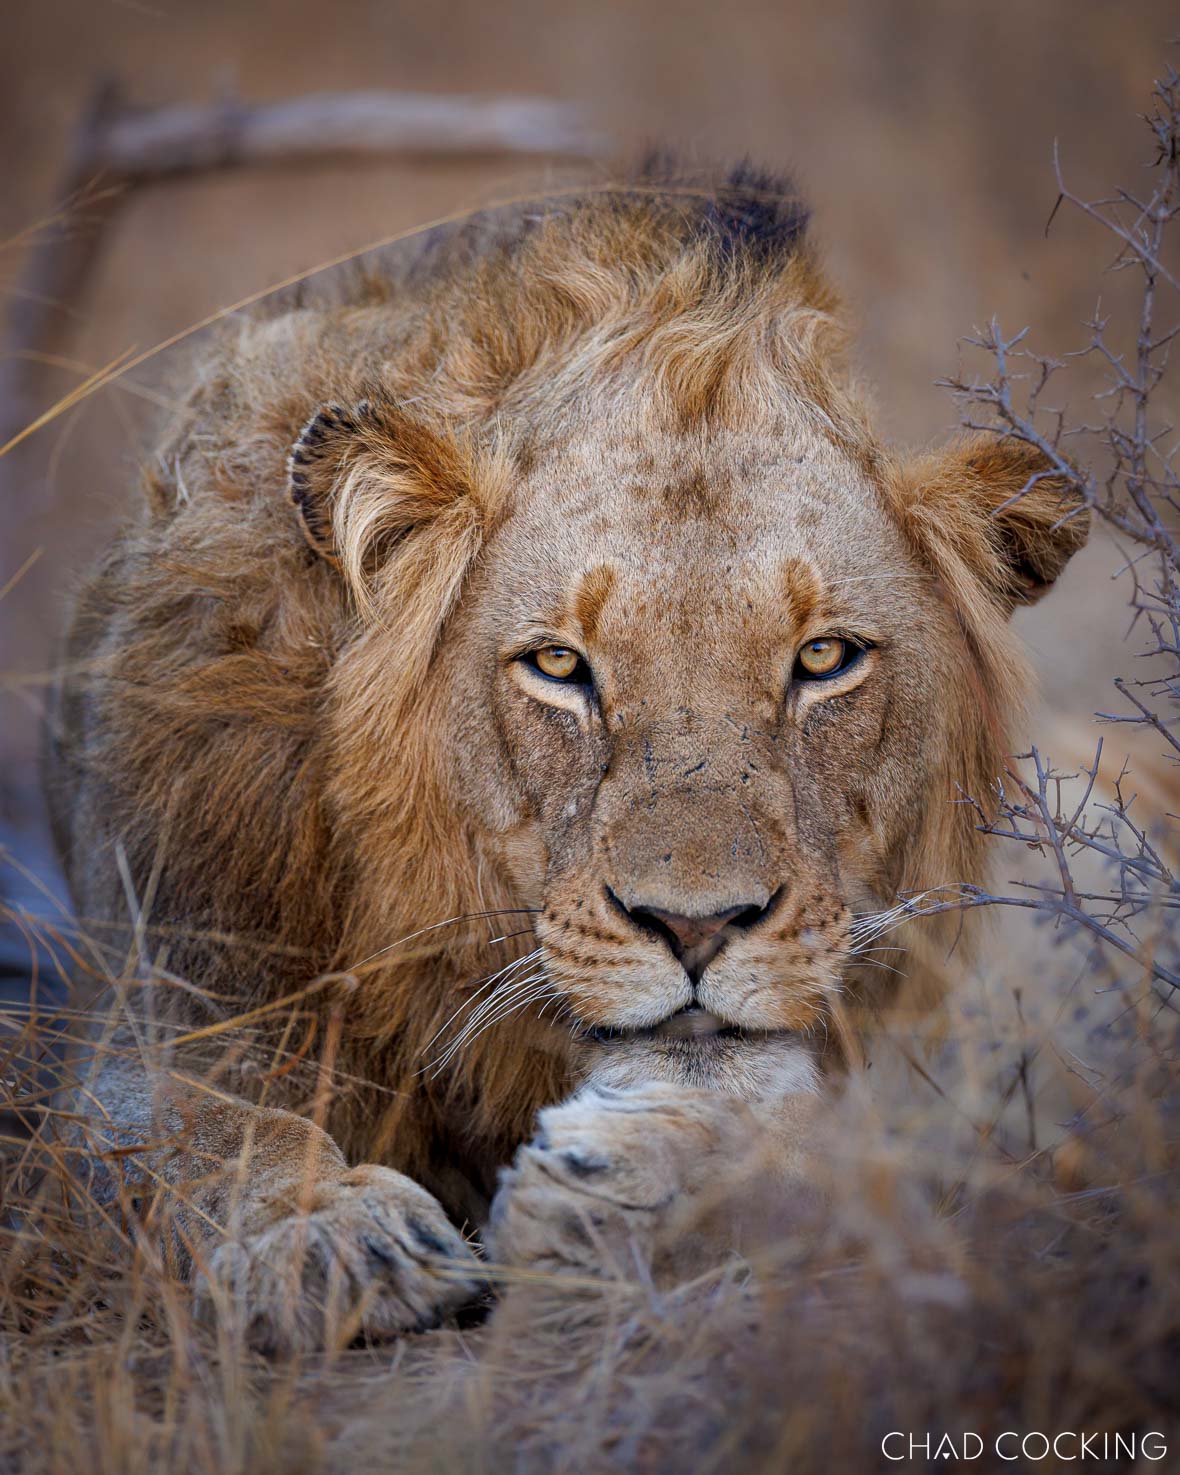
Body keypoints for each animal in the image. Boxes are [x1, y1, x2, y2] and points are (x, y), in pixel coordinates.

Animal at [44, 160, 1088, 1354]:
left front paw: (622, 1183)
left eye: (824, 658)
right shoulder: (159, 984)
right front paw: (326, 1233)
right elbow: (176, 1128)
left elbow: (770, 1106)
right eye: (559, 664)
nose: (697, 926)